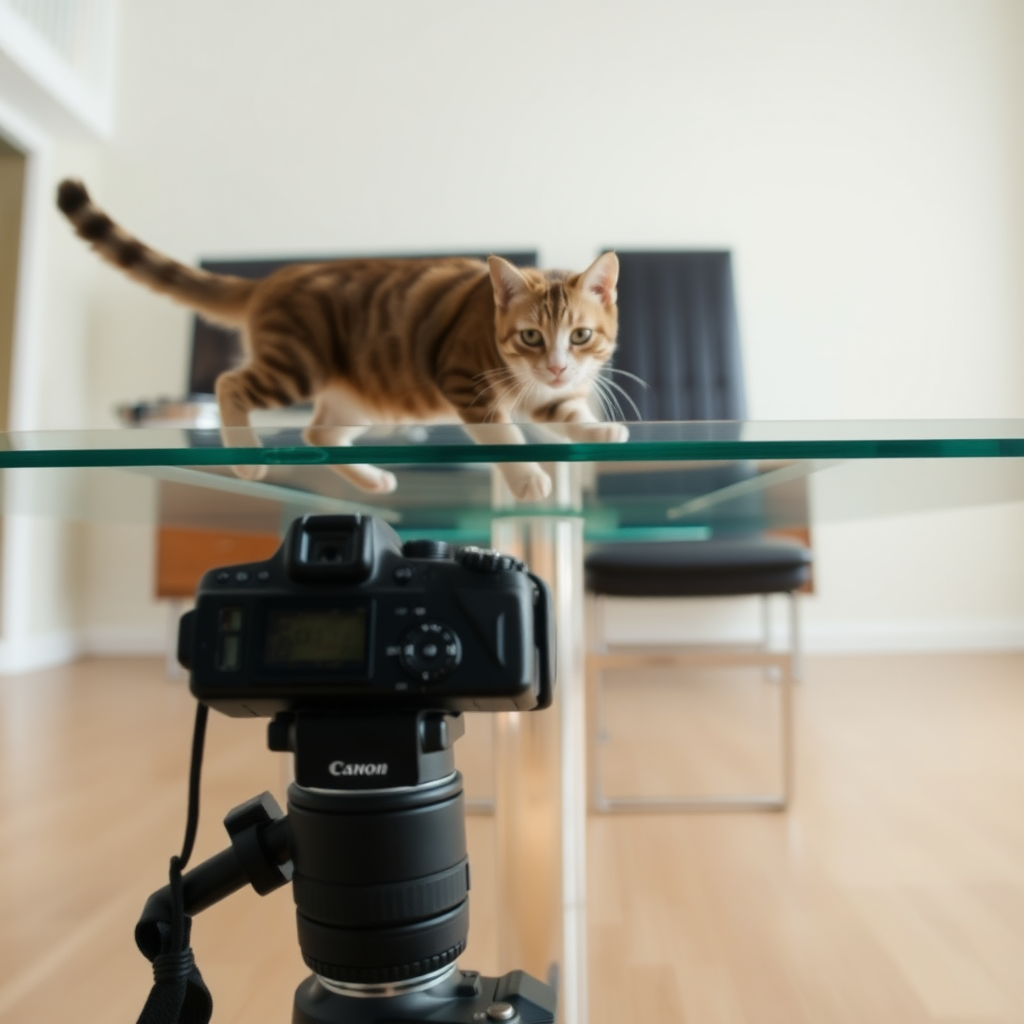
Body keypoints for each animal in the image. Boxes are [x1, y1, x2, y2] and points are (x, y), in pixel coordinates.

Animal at [61, 180, 630, 499]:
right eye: (531, 336)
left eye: (580, 335)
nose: (556, 365)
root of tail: (274, 279)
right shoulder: (466, 382)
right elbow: (503, 434)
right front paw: (528, 478)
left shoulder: (548, 393)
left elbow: (568, 414)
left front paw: (599, 430)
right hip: (298, 363)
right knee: (230, 384)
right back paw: (245, 454)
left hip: (364, 393)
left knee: (318, 434)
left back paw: (372, 478)